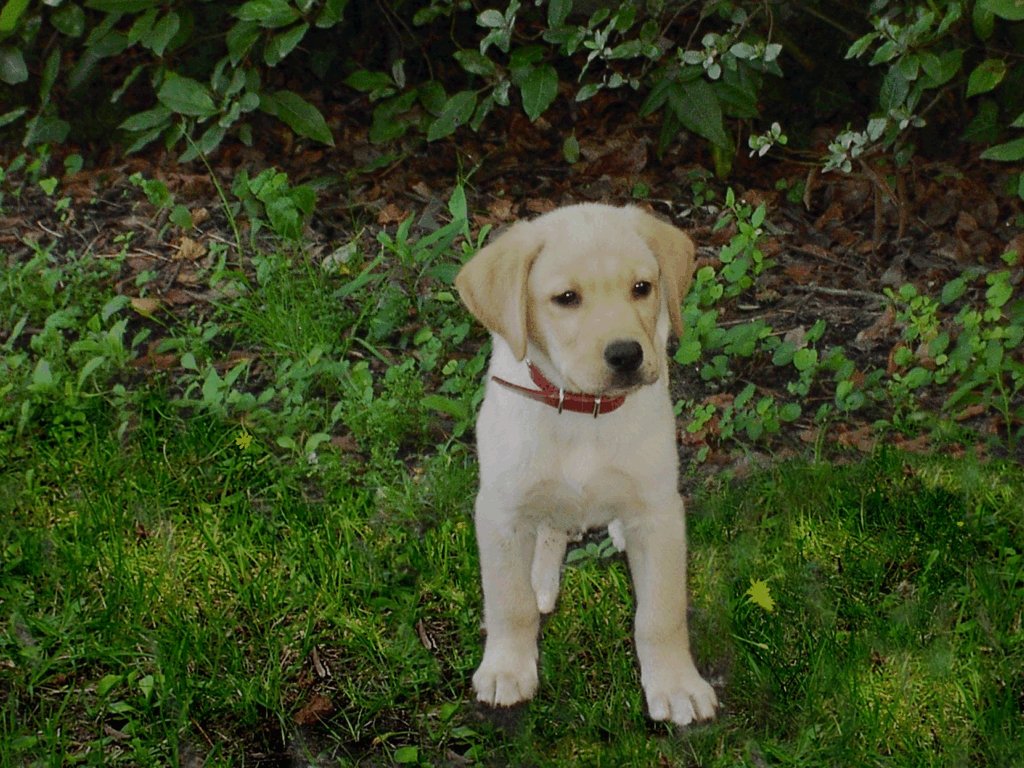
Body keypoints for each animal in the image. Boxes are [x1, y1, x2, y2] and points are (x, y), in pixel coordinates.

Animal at [456, 199, 720, 729]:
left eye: (642, 288)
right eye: (566, 298)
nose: (627, 354)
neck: (582, 411)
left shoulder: (659, 514)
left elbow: (660, 614)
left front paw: (675, 684)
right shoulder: (499, 511)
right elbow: (509, 601)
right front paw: (506, 669)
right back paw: (540, 575)